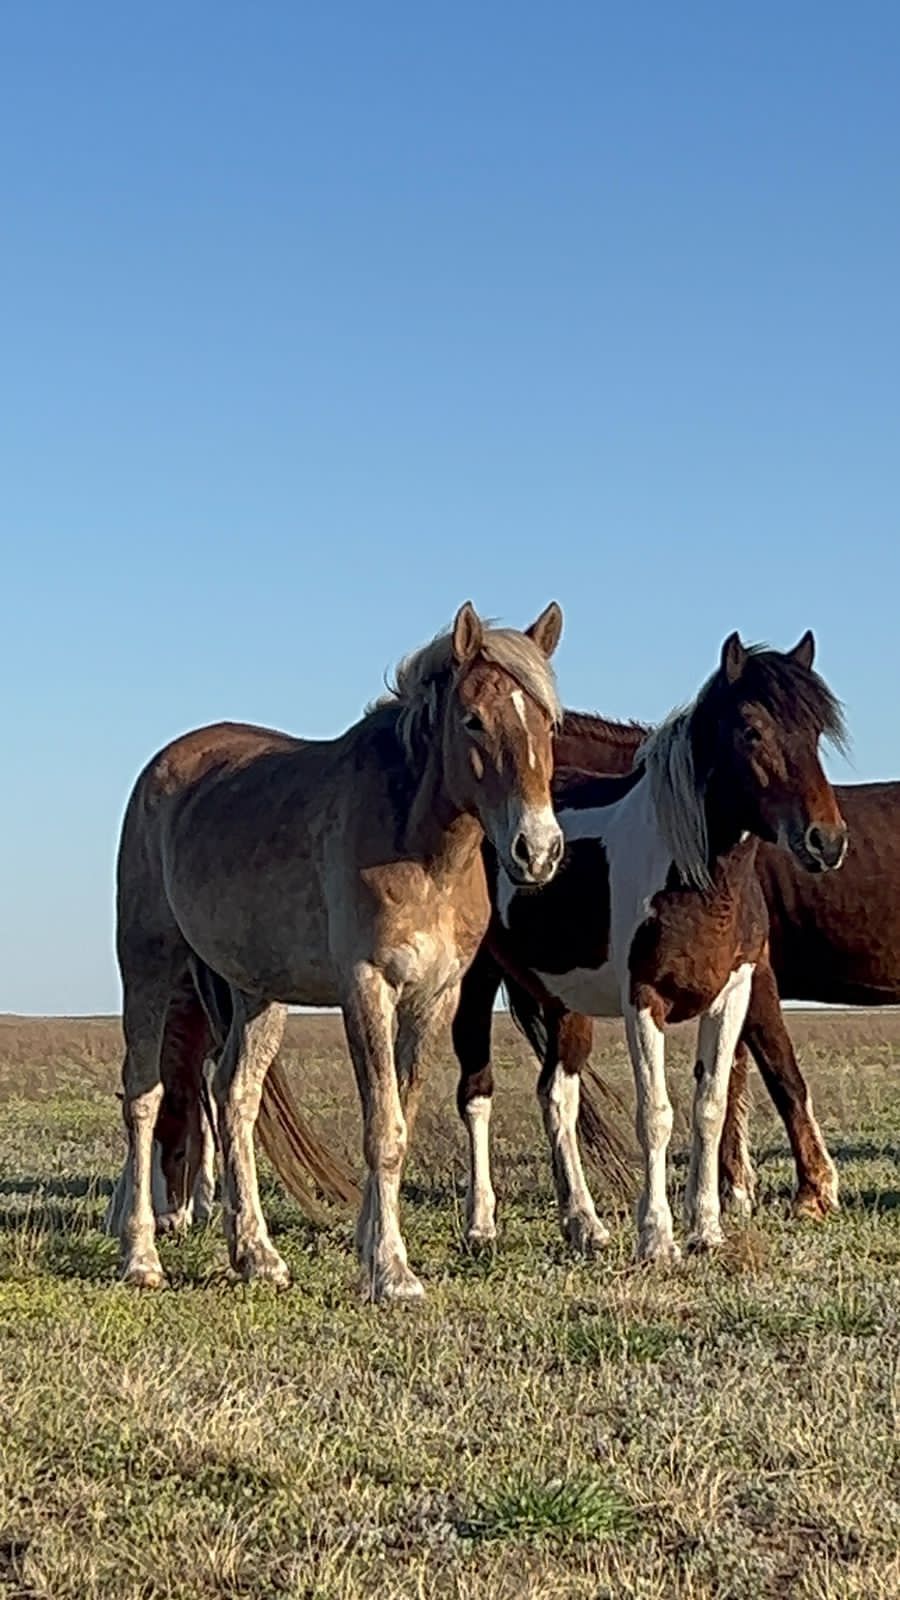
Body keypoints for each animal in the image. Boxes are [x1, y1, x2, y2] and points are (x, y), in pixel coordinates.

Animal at [454, 630, 845, 1267]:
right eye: (751, 731)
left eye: (814, 732)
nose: (826, 842)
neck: (696, 876)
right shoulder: (646, 1000)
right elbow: (656, 1115)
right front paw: (657, 1237)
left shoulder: (732, 994)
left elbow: (709, 1107)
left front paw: (706, 1229)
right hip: (476, 982)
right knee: (476, 1094)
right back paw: (482, 1226)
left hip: (564, 1002)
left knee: (556, 1096)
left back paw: (584, 1225)